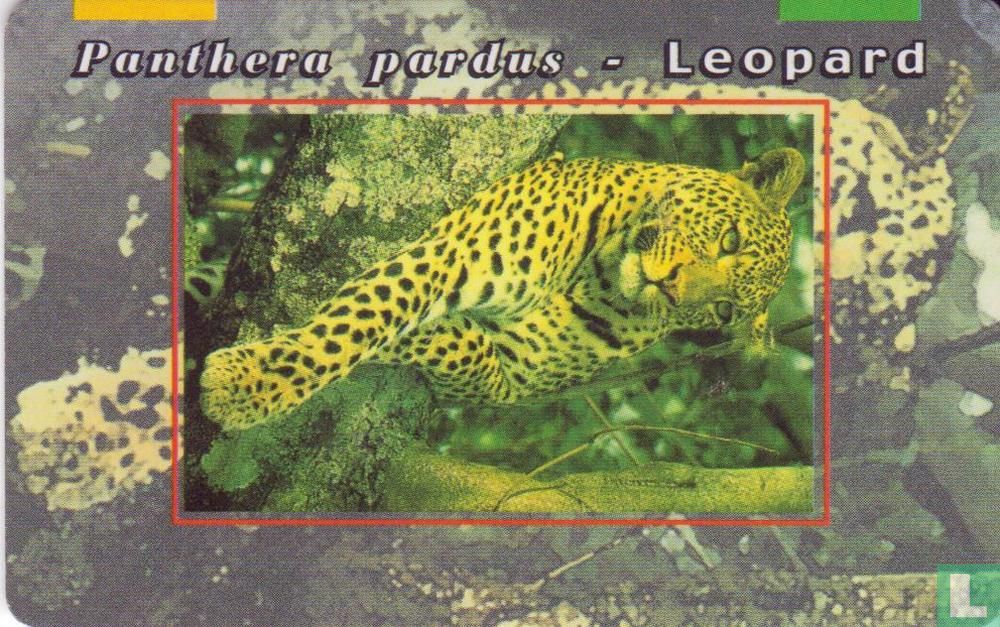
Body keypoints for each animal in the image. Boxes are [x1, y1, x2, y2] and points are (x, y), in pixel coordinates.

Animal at [200, 147, 806, 430]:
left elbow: (472, 356)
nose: (673, 288)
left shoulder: (516, 376)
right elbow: (361, 322)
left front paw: (432, 335)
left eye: (723, 312)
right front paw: (246, 387)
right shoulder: (451, 255)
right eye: (730, 239)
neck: (604, 272)